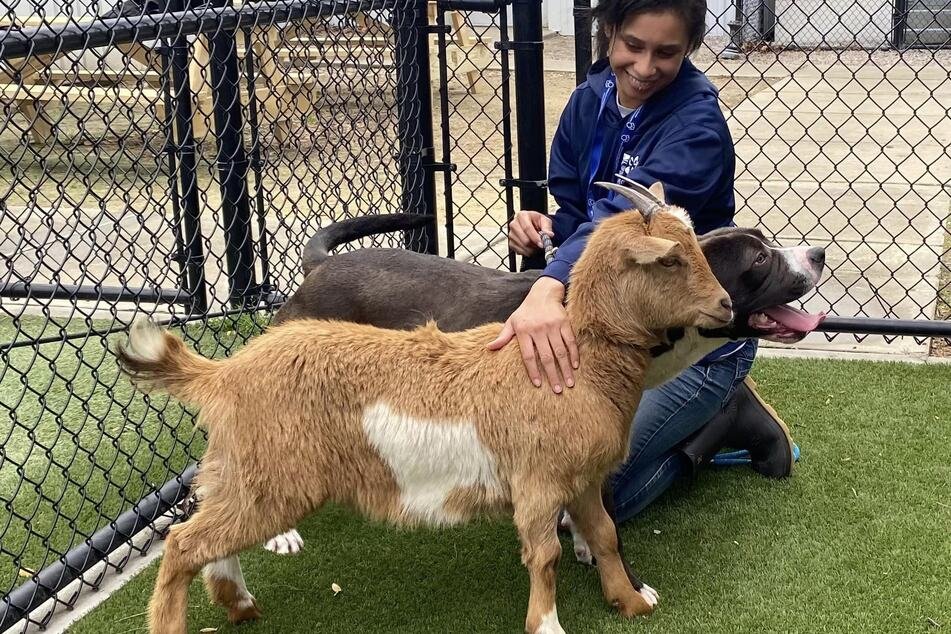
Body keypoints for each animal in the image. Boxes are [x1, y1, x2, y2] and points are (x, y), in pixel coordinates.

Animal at [117, 201, 728, 632]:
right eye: (670, 259)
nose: (724, 304)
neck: (576, 357)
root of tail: (223, 374)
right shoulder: (537, 482)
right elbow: (545, 555)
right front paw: (548, 626)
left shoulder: (580, 479)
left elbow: (603, 535)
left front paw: (631, 600)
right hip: (273, 480)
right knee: (184, 543)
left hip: (244, 470)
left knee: (201, 527)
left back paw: (238, 601)